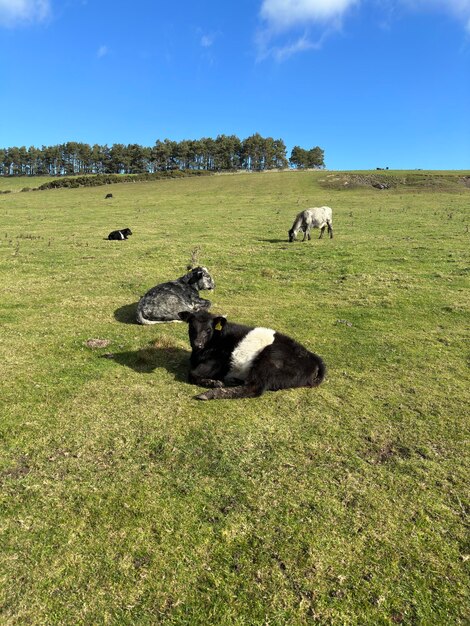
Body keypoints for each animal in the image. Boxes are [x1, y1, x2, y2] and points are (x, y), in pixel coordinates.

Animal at [178, 308, 324, 400]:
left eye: (208, 329)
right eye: (191, 327)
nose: (198, 344)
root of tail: (312, 356)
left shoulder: (215, 361)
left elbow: (192, 374)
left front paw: (213, 383)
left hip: (270, 358)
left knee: (254, 388)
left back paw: (210, 393)